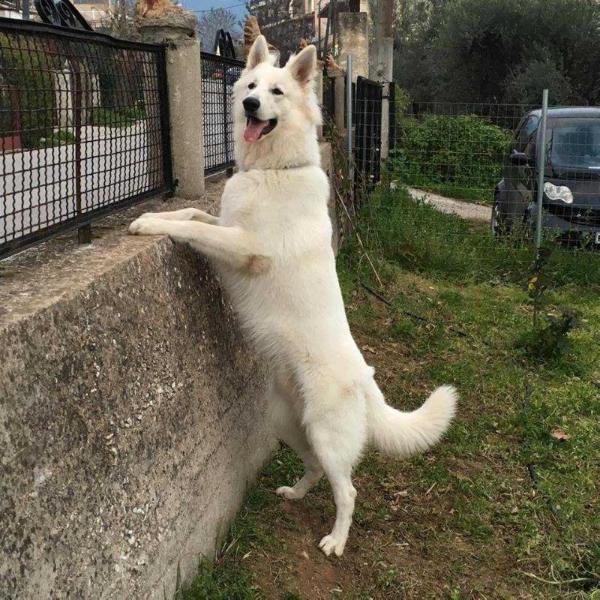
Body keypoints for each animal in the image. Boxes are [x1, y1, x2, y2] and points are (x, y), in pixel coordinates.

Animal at [129, 36, 458, 556]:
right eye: (250, 86)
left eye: (276, 93)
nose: (249, 105)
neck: (276, 169)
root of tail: (365, 380)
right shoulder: (226, 224)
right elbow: (192, 213)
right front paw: (158, 216)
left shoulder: (244, 246)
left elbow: (191, 227)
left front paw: (149, 225)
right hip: (288, 426)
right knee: (315, 470)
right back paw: (296, 494)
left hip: (325, 435)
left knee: (347, 489)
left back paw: (336, 540)